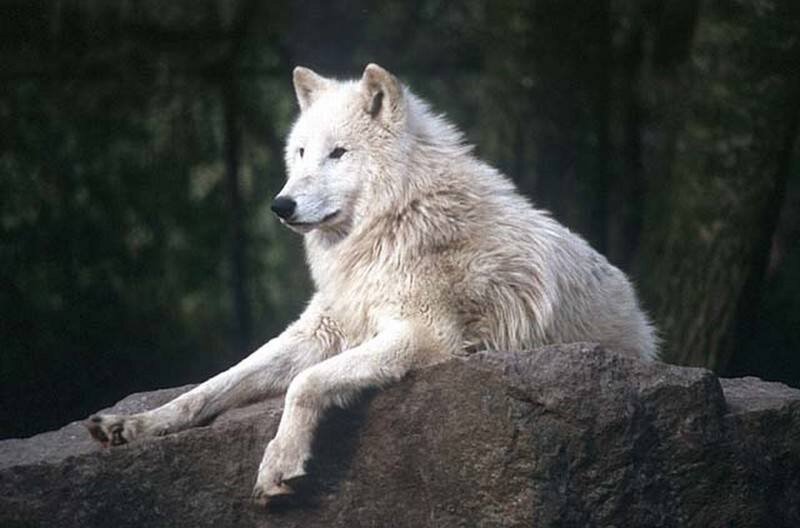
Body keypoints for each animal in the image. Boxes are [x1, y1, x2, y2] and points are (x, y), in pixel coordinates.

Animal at [87, 63, 657, 504]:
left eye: (338, 153)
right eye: (300, 152)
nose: (280, 205)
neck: (393, 221)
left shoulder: (424, 336)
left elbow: (304, 383)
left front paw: (279, 463)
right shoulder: (318, 330)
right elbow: (211, 386)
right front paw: (134, 425)